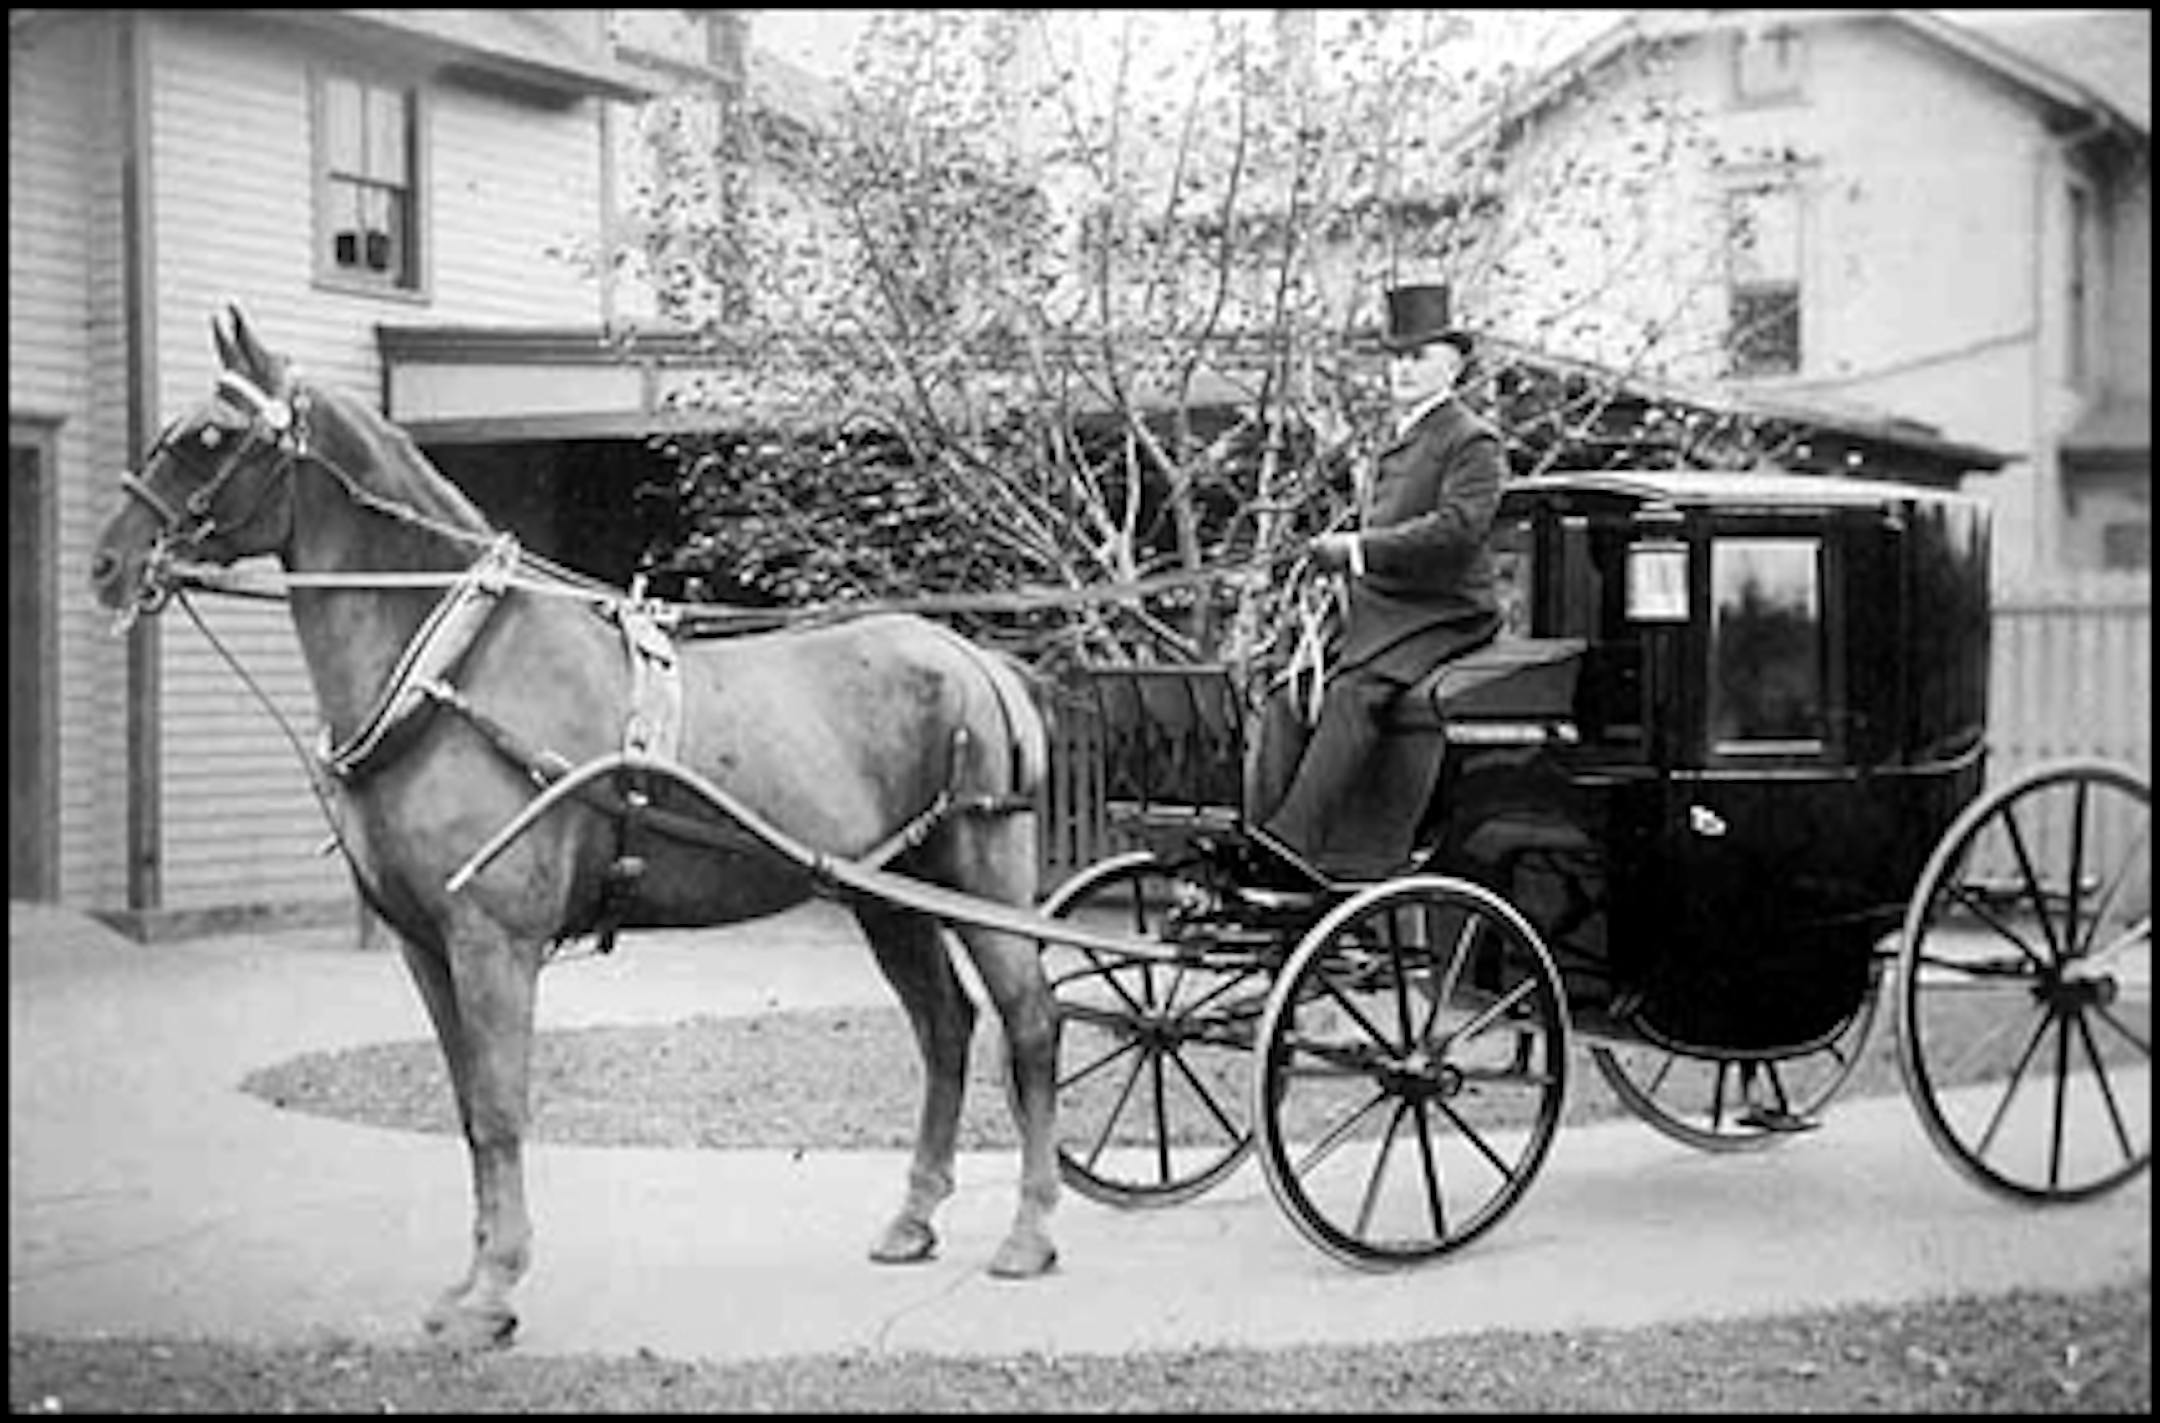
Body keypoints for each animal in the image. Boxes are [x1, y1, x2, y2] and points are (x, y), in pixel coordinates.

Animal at [89, 306, 1063, 1349]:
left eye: (209, 437)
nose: (108, 563)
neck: (457, 668)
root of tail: (977, 659)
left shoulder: (494, 941)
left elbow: (502, 1107)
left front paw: (494, 1292)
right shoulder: (427, 946)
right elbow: (469, 1109)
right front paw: (468, 1282)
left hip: (981, 876)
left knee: (1031, 1021)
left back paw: (1030, 1232)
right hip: (887, 896)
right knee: (946, 1027)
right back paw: (913, 1218)